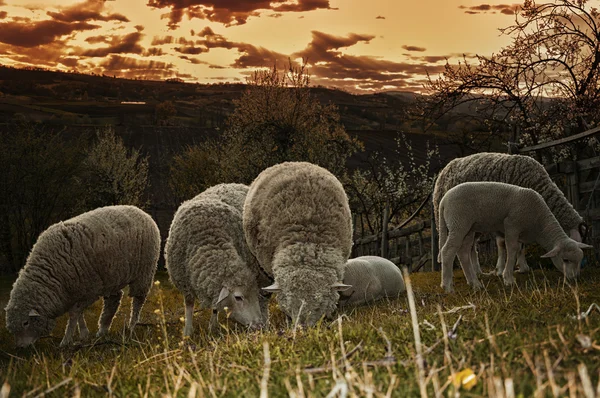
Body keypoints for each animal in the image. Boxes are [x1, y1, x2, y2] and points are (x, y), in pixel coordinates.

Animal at [3, 207, 162, 346]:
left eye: (25, 323)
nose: (21, 347)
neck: (50, 273)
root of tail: (142, 211)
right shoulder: (77, 291)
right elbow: (78, 313)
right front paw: (84, 334)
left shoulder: (90, 289)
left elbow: (74, 314)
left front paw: (66, 340)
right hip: (112, 276)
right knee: (113, 301)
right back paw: (103, 329)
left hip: (144, 272)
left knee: (138, 301)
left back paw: (132, 325)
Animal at [163, 183, 268, 336]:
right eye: (238, 297)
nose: (258, 325)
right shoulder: (185, 283)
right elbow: (189, 305)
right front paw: (188, 332)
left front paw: (212, 328)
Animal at [438, 181, 592, 292]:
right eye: (565, 260)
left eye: (580, 260)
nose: (575, 279)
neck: (540, 223)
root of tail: (444, 200)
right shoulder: (512, 225)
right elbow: (511, 250)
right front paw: (508, 278)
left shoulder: (519, 233)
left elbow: (518, 249)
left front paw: (518, 269)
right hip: (458, 223)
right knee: (448, 251)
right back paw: (447, 286)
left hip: (468, 229)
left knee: (463, 252)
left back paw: (474, 283)